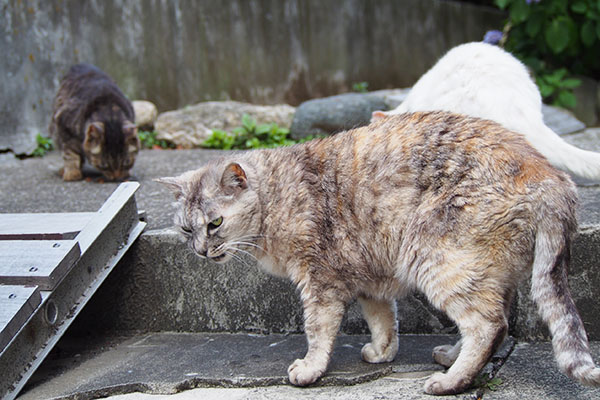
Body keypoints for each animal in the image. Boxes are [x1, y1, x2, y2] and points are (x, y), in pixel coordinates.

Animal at [157, 111, 596, 394]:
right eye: (186, 229)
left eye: (215, 223)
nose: (200, 251)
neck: (278, 195)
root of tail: (552, 177)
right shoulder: (368, 277)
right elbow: (382, 320)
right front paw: (382, 352)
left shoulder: (319, 281)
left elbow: (317, 330)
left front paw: (311, 369)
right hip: (483, 272)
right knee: (494, 321)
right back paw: (451, 359)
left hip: (440, 261)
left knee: (488, 325)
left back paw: (450, 382)